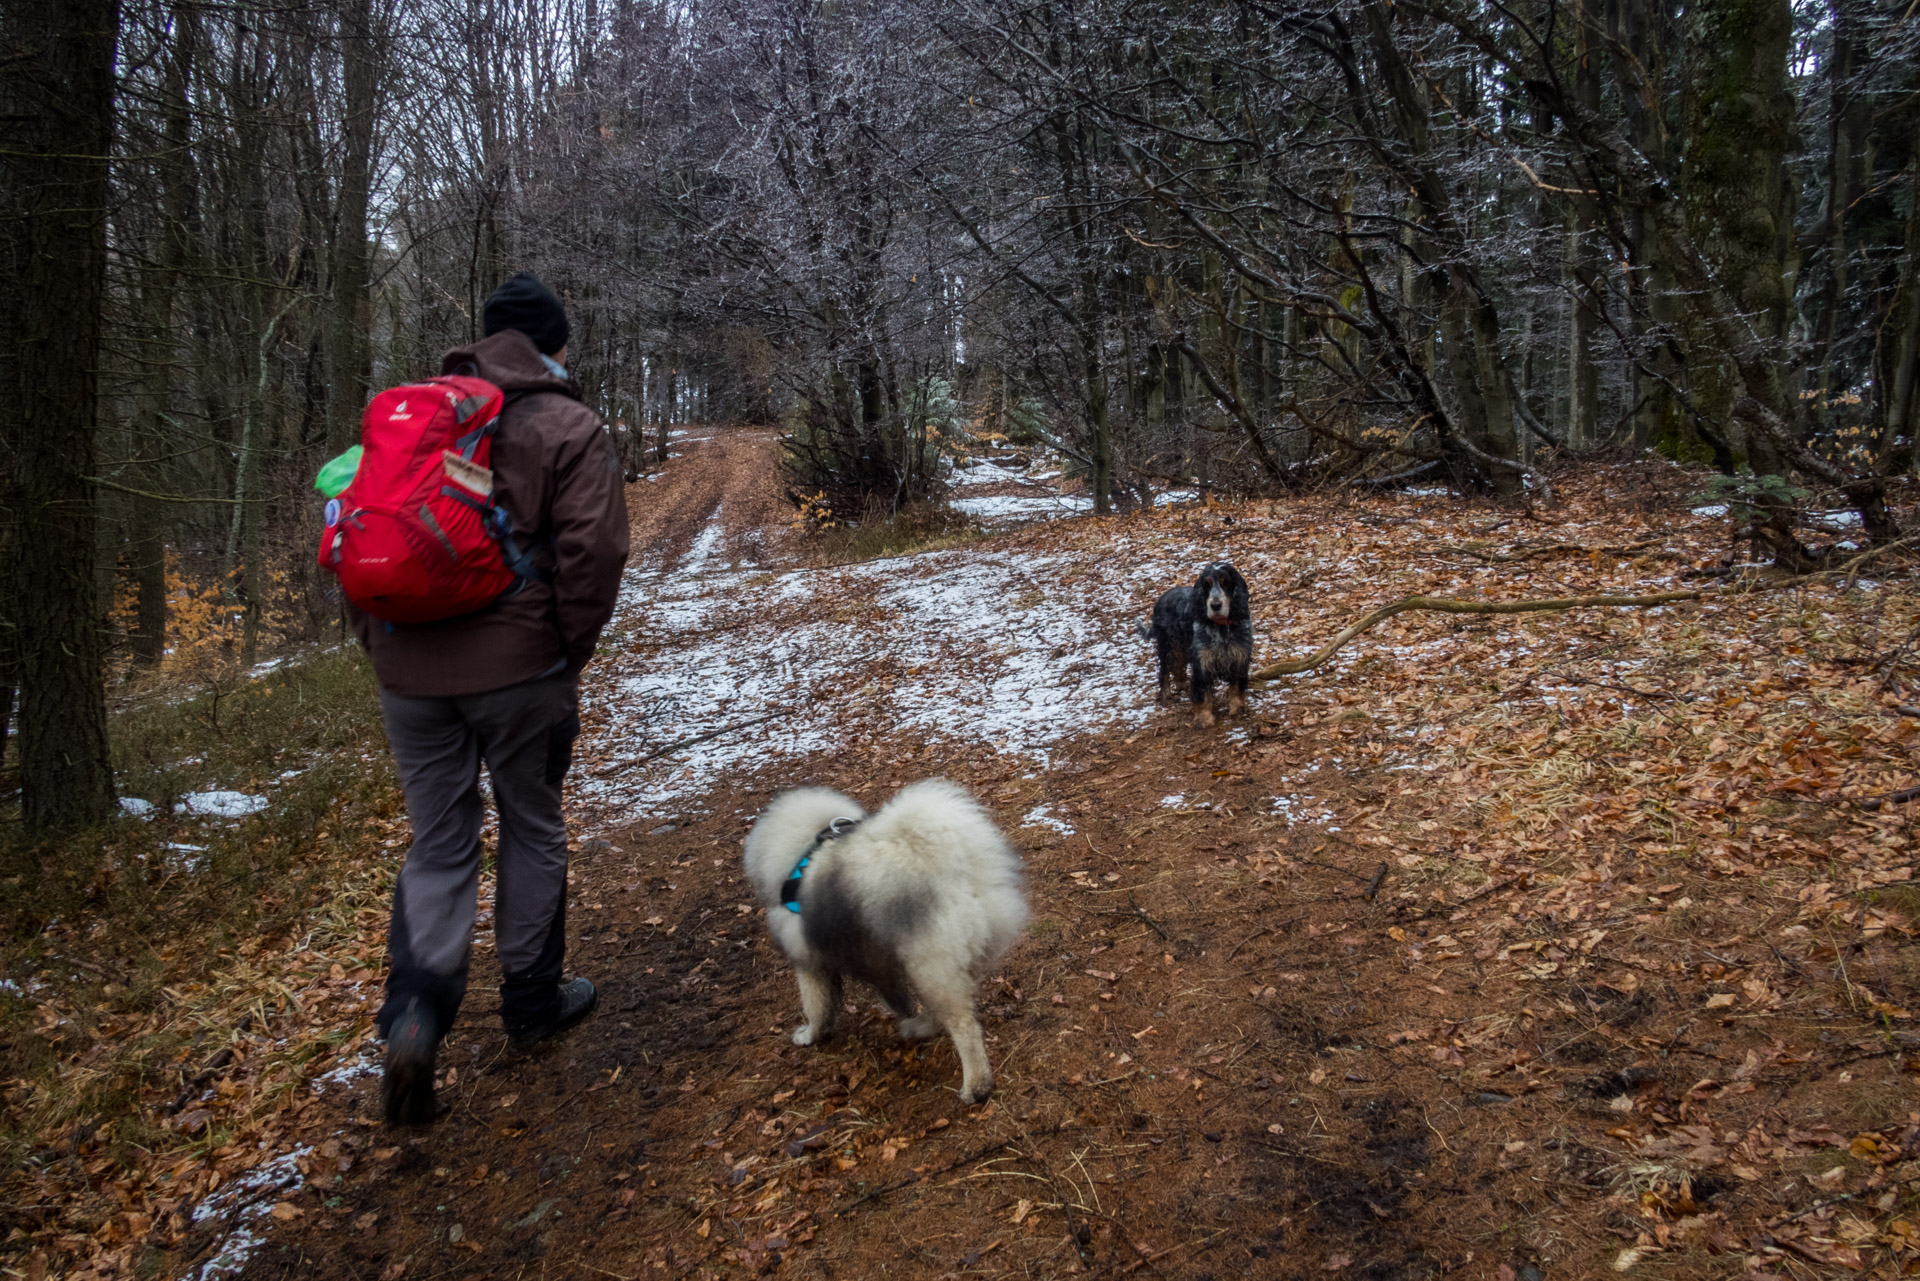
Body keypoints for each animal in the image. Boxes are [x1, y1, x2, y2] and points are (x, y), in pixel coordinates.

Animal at [741, 775, 1029, 1106]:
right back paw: (918, 1028)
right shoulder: (876, 962)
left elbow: (816, 1007)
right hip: (937, 966)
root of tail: (959, 878)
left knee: (964, 1028)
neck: (805, 850)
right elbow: (891, 996)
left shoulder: (810, 965)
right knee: (940, 1011)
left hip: (931, 966)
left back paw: (976, 1087)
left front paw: (809, 1035)